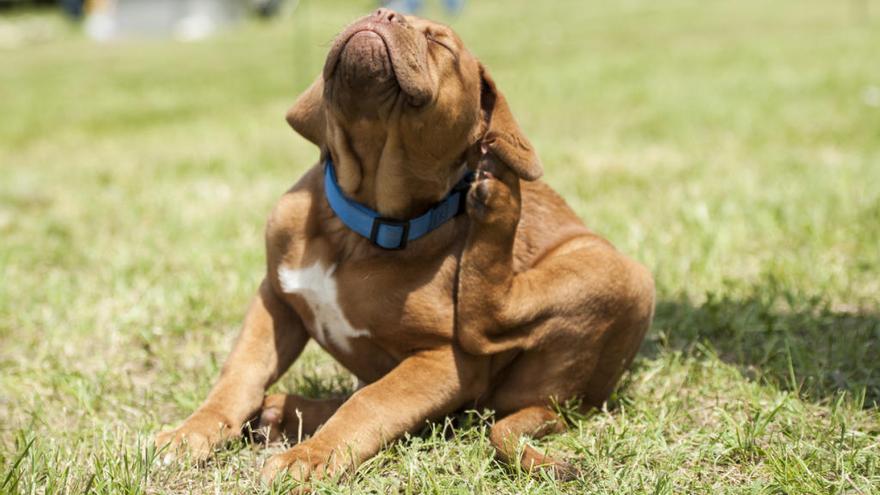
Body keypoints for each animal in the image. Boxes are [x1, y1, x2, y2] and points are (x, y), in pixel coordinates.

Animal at [156, 7, 652, 486]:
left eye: (440, 43)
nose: (383, 14)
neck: (359, 224)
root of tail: (563, 404)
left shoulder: (444, 362)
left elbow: (372, 404)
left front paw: (310, 458)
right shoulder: (275, 299)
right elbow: (239, 374)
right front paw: (191, 432)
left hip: (619, 274)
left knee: (486, 324)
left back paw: (500, 199)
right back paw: (285, 412)